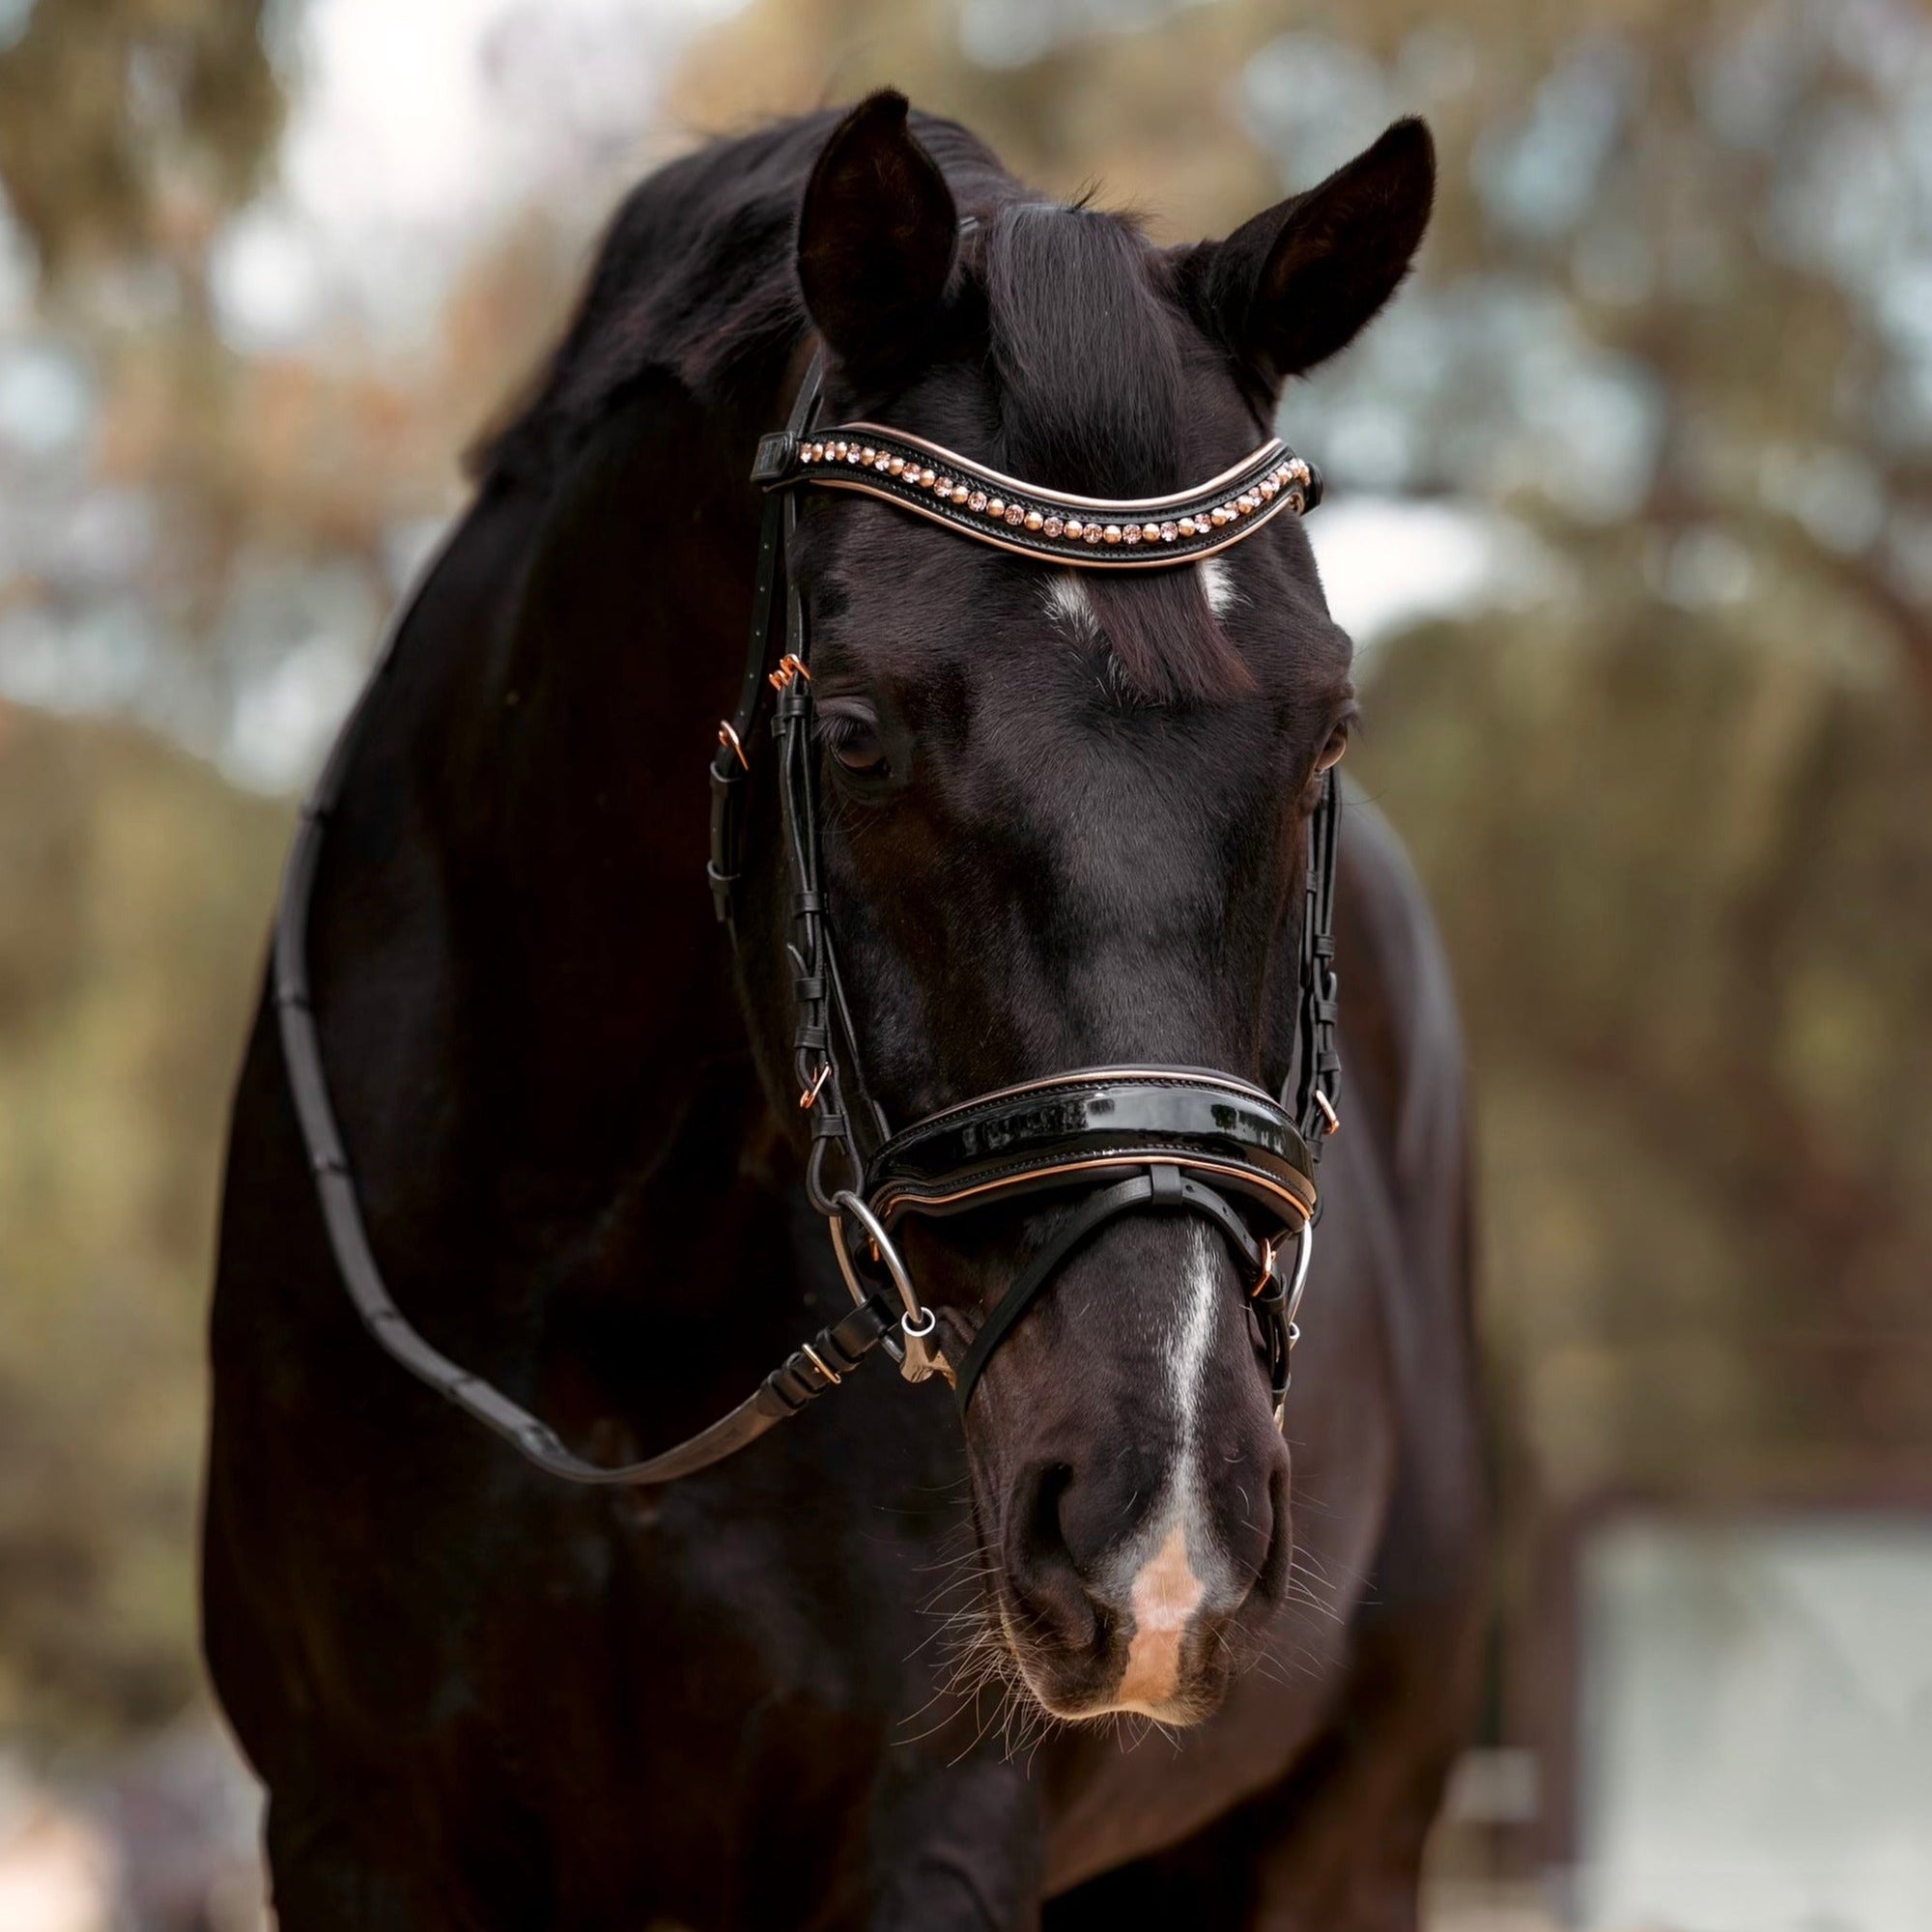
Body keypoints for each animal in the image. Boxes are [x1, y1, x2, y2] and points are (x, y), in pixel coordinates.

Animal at [204, 94, 1484, 1932]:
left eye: (1326, 735)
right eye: (862, 734)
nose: (1162, 1515)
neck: (614, 1302)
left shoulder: (930, 1827)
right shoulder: (357, 1824)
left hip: (1347, 1838)